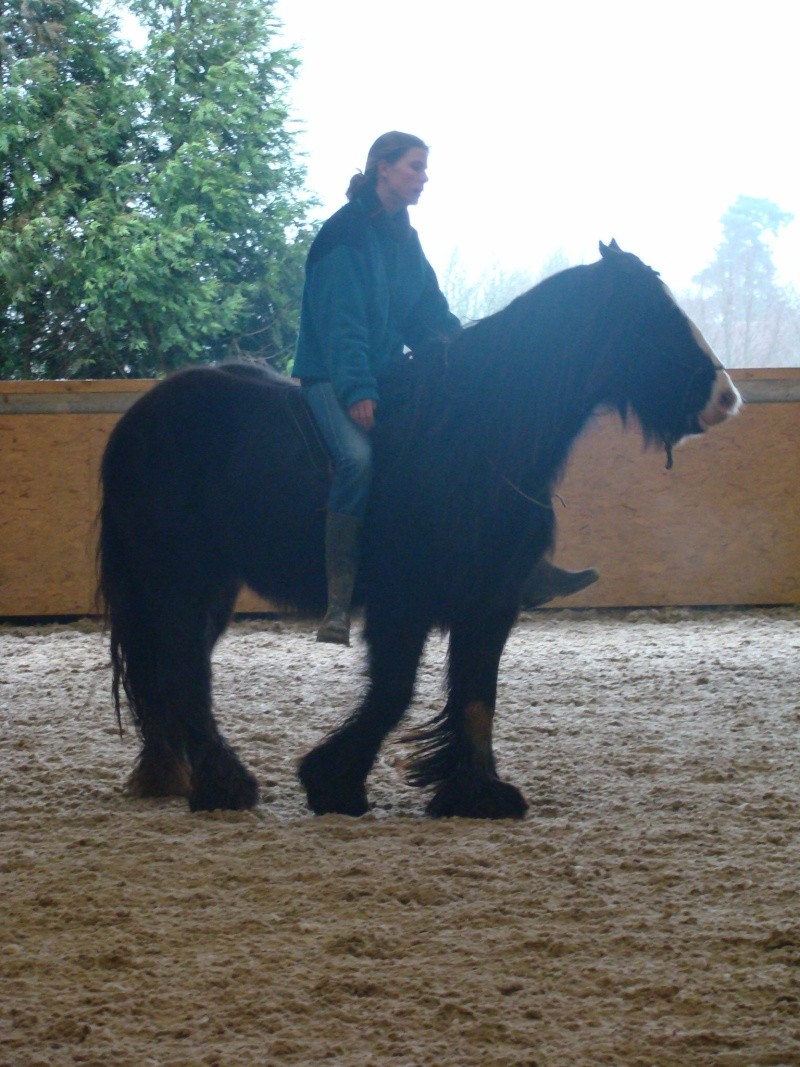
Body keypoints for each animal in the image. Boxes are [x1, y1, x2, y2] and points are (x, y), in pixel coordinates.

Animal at [100, 242, 746, 815]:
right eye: (653, 318)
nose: (727, 397)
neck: (470, 436)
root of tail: (141, 417)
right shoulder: (402, 602)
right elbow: (395, 692)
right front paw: (334, 782)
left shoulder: (490, 601)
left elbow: (477, 695)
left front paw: (476, 792)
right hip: (177, 583)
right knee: (183, 674)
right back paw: (225, 785)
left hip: (209, 588)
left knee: (176, 673)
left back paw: (179, 775)